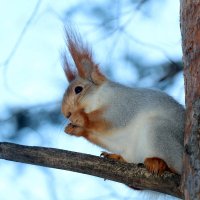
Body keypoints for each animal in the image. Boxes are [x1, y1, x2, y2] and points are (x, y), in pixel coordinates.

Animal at [60, 30, 184, 175]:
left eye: (78, 89)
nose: (66, 114)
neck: (98, 100)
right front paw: (74, 129)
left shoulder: (124, 104)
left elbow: (113, 119)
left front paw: (80, 118)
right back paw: (116, 157)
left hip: (160, 131)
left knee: (176, 167)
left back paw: (158, 163)